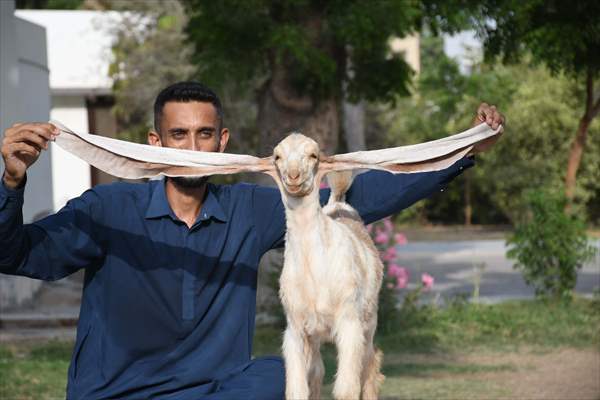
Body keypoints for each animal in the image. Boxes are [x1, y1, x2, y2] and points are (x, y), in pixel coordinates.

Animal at [274, 134, 384, 400]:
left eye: (314, 155)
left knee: (370, 364)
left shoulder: (350, 323)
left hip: (369, 321)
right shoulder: (295, 328)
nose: (293, 176)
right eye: (277, 156)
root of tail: (338, 205)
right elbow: (298, 388)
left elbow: (346, 388)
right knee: (317, 372)